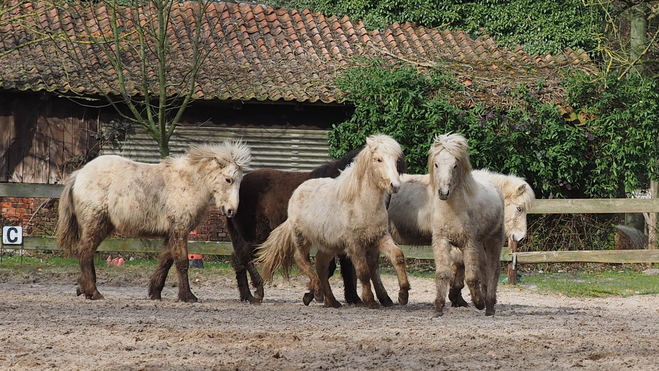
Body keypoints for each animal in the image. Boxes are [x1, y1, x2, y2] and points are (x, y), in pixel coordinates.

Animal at [231, 146, 408, 306]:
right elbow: (342, 269)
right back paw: (256, 293)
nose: (393, 187)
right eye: (379, 160)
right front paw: (327, 295)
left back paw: (246, 295)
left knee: (238, 259)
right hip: (259, 236)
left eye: (397, 163)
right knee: (244, 257)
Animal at [428, 134, 506, 316]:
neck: (452, 211)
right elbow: (443, 274)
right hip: (480, 243)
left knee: (493, 269)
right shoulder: (442, 241)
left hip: (494, 238)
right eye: (436, 164)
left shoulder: (469, 243)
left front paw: (479, 303)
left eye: (455, 165)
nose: (443, 193)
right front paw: (438, 308)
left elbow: (471, 277)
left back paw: (489, 306)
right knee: (484, 269)